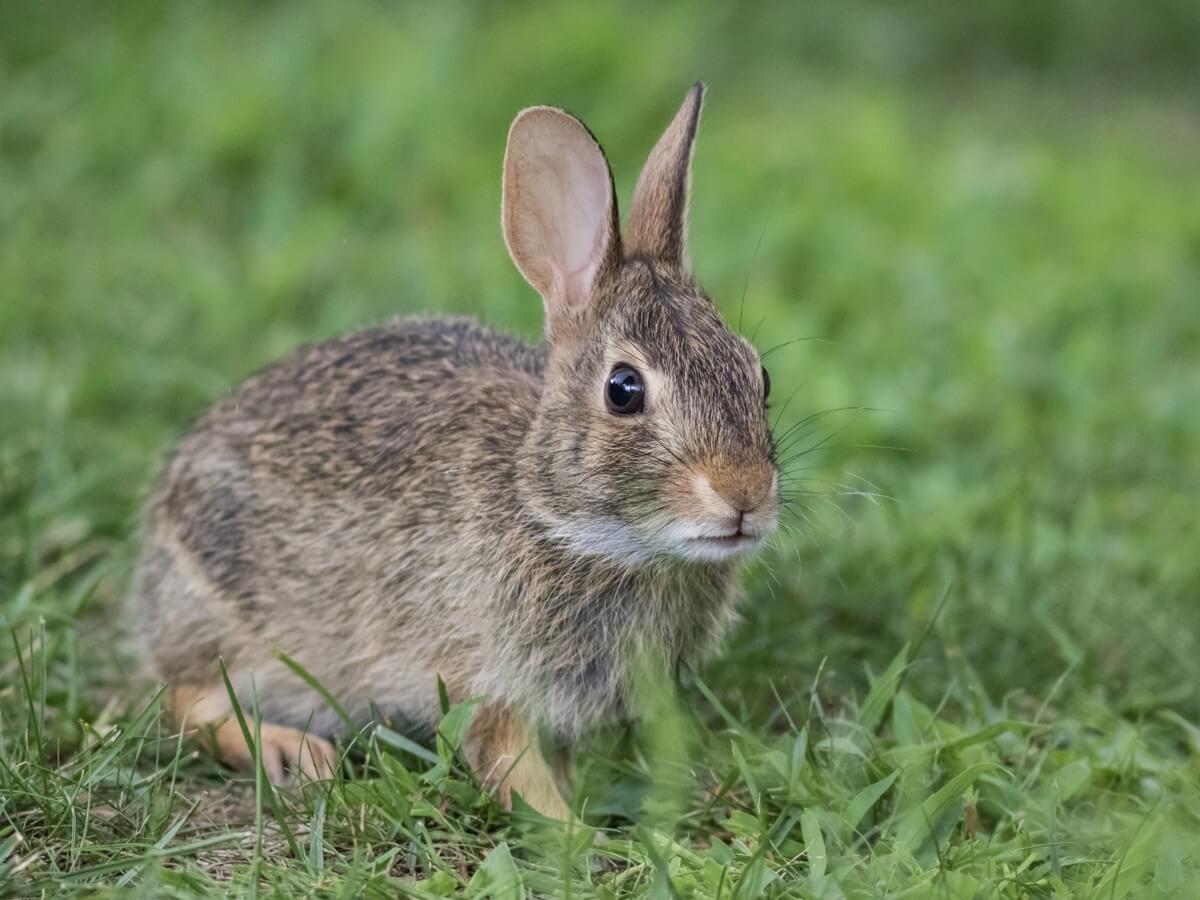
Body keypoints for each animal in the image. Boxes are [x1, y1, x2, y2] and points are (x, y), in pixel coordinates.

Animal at [132, 82, 778, 821]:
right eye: (623, 390)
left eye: (759, 376)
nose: (745, 496)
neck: (566, 522)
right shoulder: (485, 675)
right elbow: (509, 764)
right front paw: (576, 832)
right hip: (229, 622)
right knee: (183, 697)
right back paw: (291, 752)